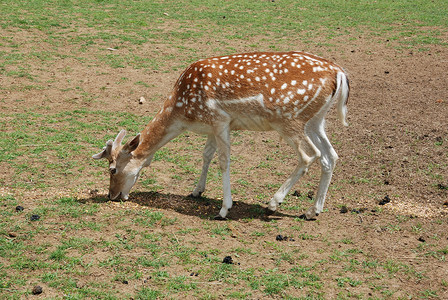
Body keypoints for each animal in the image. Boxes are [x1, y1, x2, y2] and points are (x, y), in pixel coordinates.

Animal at [92, 51, 350, 220]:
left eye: (112, 169)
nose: (112, 195)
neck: (183, 112)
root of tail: (339, 73)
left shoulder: (219, 120)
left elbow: (224, 161)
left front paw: (224, 209)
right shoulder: (212, 126)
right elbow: (206, 154)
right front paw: (197, 191)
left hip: (289, 120)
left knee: (309, 156)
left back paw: (273, 204)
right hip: (316, 120)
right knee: (330, 156)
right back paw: (312, 211)